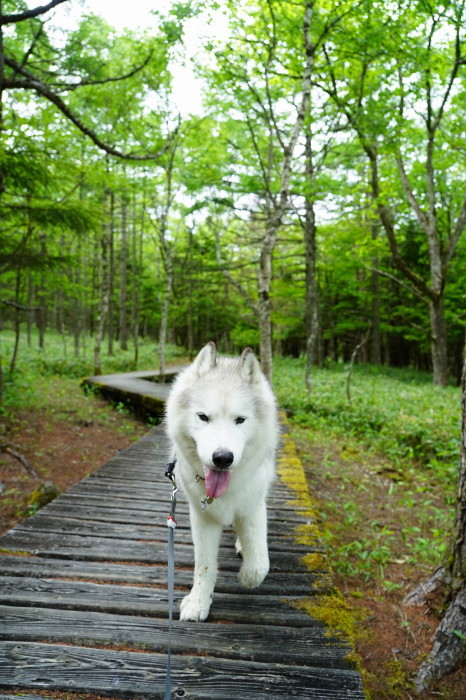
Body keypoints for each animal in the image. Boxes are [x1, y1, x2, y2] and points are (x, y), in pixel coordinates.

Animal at [166, 342, 278, 620]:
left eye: (240, 420)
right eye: (203, 417)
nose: (223, 458)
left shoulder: (252, 507)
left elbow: (259, 564)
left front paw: (246, 579)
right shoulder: (202, 516)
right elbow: (204, 565)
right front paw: (198, 602)